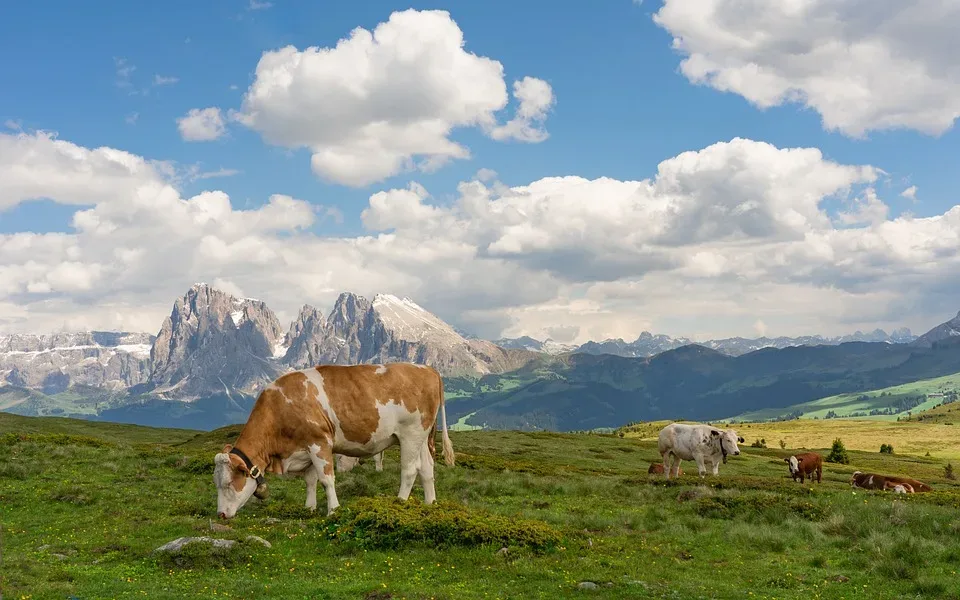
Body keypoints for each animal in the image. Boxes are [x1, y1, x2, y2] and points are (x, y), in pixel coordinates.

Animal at [214, 364, 454, 516]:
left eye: (228, 484)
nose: (221, 515)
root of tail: (427, 369)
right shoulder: (306, 447)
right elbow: (310, 480)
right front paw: (309, 508)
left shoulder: (319, 442)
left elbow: (326, 479)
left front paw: (333, 510)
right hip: (421, 436)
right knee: (427, 468)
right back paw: (430, 505)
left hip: (410, 433)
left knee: (410, 470)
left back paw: (399, 503)